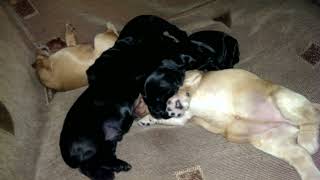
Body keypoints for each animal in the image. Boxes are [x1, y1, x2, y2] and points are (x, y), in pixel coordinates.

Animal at [138, 69, 320, 180]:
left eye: (159, 98)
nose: (164, 111)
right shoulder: (183, 118)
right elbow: (172, 118)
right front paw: (148, 119)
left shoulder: (193, 77)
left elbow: (185, 86)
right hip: (272, 142)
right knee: (301, 154)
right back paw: (311, 174)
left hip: (283, 99)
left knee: (311, 117)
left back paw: (308, 139)